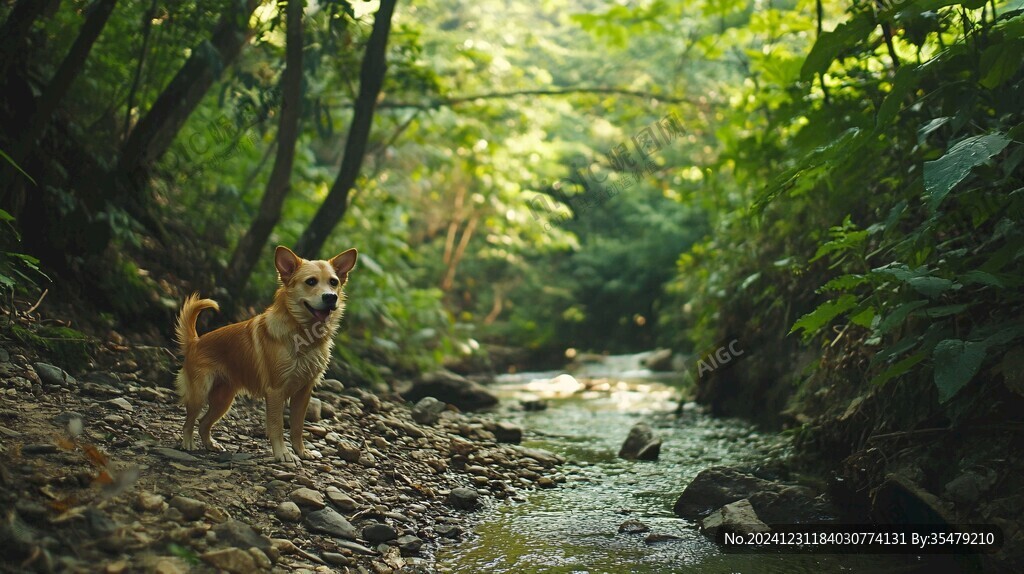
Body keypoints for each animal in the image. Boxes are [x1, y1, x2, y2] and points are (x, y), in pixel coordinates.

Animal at [173, 243, 356, 458]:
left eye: (334, 282)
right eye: (311, 282)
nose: (330, 297)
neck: (303, 334)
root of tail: (195, 341)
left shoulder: (303, 393)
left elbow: (297, 427)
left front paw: (301, 451)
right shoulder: (276, 391)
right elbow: (277, 425)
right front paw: (282, 454)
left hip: (223, 399)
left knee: (203, 423)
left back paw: (211, 445)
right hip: (199, 394)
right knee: (189, 421)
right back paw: (187, 443)